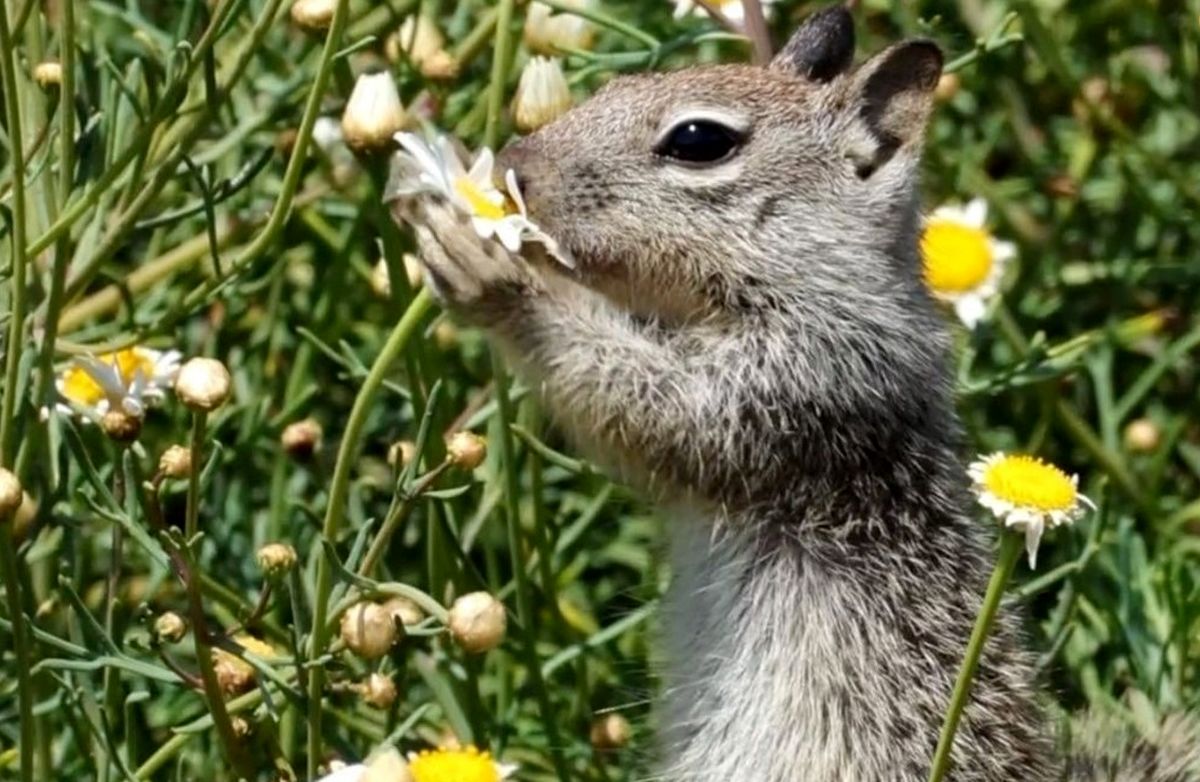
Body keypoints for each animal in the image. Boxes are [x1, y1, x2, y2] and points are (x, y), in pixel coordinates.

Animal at [400, 7, 1200, 782]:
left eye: (699, 140)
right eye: (618, 85)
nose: (512, 169)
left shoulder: (805, 383)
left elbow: (656, 407)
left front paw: (498, 275)